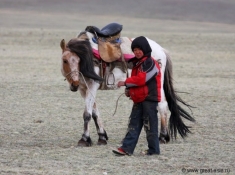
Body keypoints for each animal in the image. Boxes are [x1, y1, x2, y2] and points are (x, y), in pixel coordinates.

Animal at [59, 23, 196, 146]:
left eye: (79, 60)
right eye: (65, 60)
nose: (74, 83)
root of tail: (162, 50)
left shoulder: (92, 85)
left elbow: (87, 114)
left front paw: (84, 139)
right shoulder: (83, 88)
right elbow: (94, 112)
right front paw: (102, 137)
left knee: (162, 104)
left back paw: (162, 137)